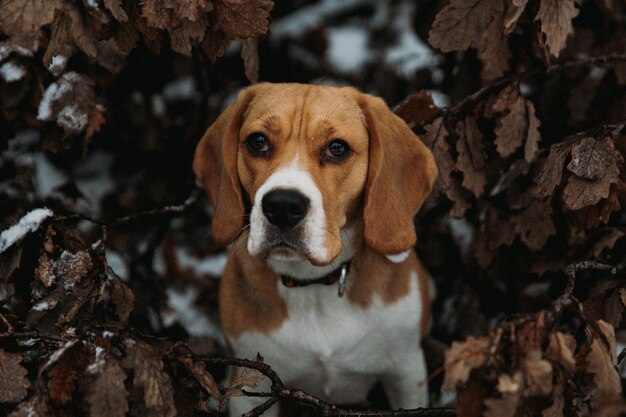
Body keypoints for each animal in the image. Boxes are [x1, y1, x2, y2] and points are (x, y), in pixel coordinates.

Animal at [193, 83, 436, 414]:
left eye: (337, 148)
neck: (314, 287)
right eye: (257, 142)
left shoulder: (406, 374)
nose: (282, 206)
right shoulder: (248, 388)